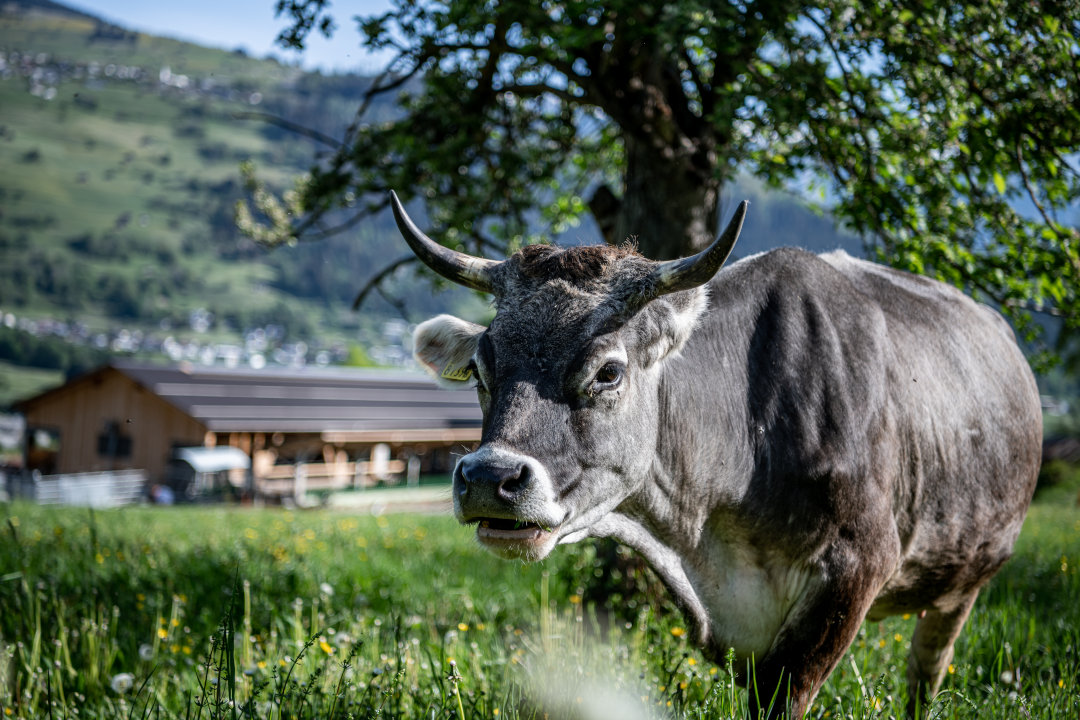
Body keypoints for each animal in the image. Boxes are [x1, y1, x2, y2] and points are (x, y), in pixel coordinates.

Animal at [390, 188, 1045, 716]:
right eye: (481, 367)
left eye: (608, 371)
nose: (488, 477)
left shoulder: (855, 571)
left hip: (967, 576)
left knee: (925, 675)